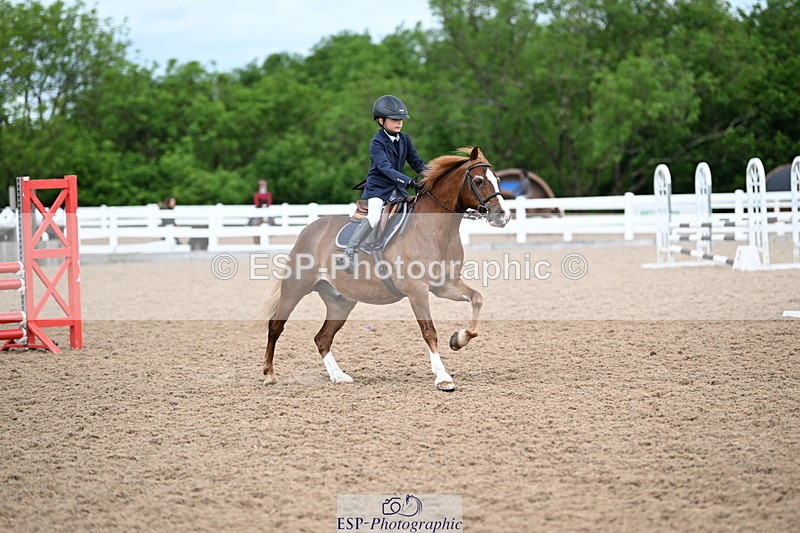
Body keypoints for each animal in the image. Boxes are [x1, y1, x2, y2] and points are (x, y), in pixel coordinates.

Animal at [261, 146, 511, 391]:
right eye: (478, 180)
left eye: (498, 179)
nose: (503, 216)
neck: (433, 228)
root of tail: (309, 230)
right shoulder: (417, 291)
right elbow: (429, 331)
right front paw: (443, 377)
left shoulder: (445, 285)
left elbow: (476, 299)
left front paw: (458, 339)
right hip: (295, 289)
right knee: (276, 327)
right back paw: (269, 374)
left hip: (340, 302)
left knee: (322, 338)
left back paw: (338, 376)